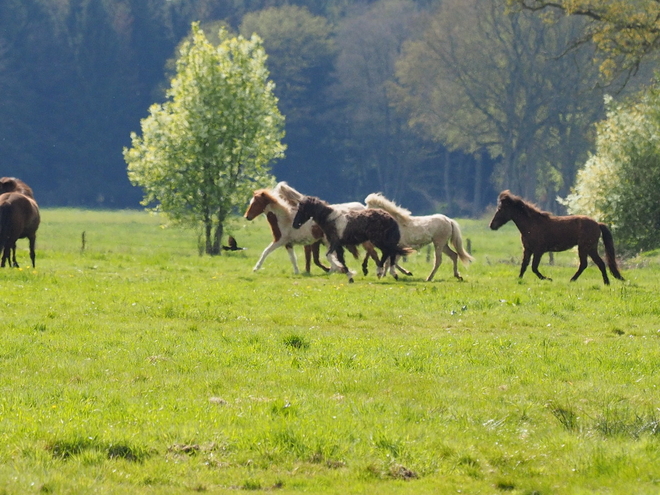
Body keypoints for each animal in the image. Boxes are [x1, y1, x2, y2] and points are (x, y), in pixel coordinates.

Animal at [490, 191, 624, 286]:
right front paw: (519, 280)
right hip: (590, 248)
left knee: (585, 264)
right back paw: (606, 282)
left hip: (584, 247)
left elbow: (534, 267)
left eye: (500, 209)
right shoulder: (527, 250)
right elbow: (524, 266)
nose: (492, 225)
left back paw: (573, 280)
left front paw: (548, 279)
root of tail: (597, 224)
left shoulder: (538, 251)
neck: (531, 224)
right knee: (599, 263)